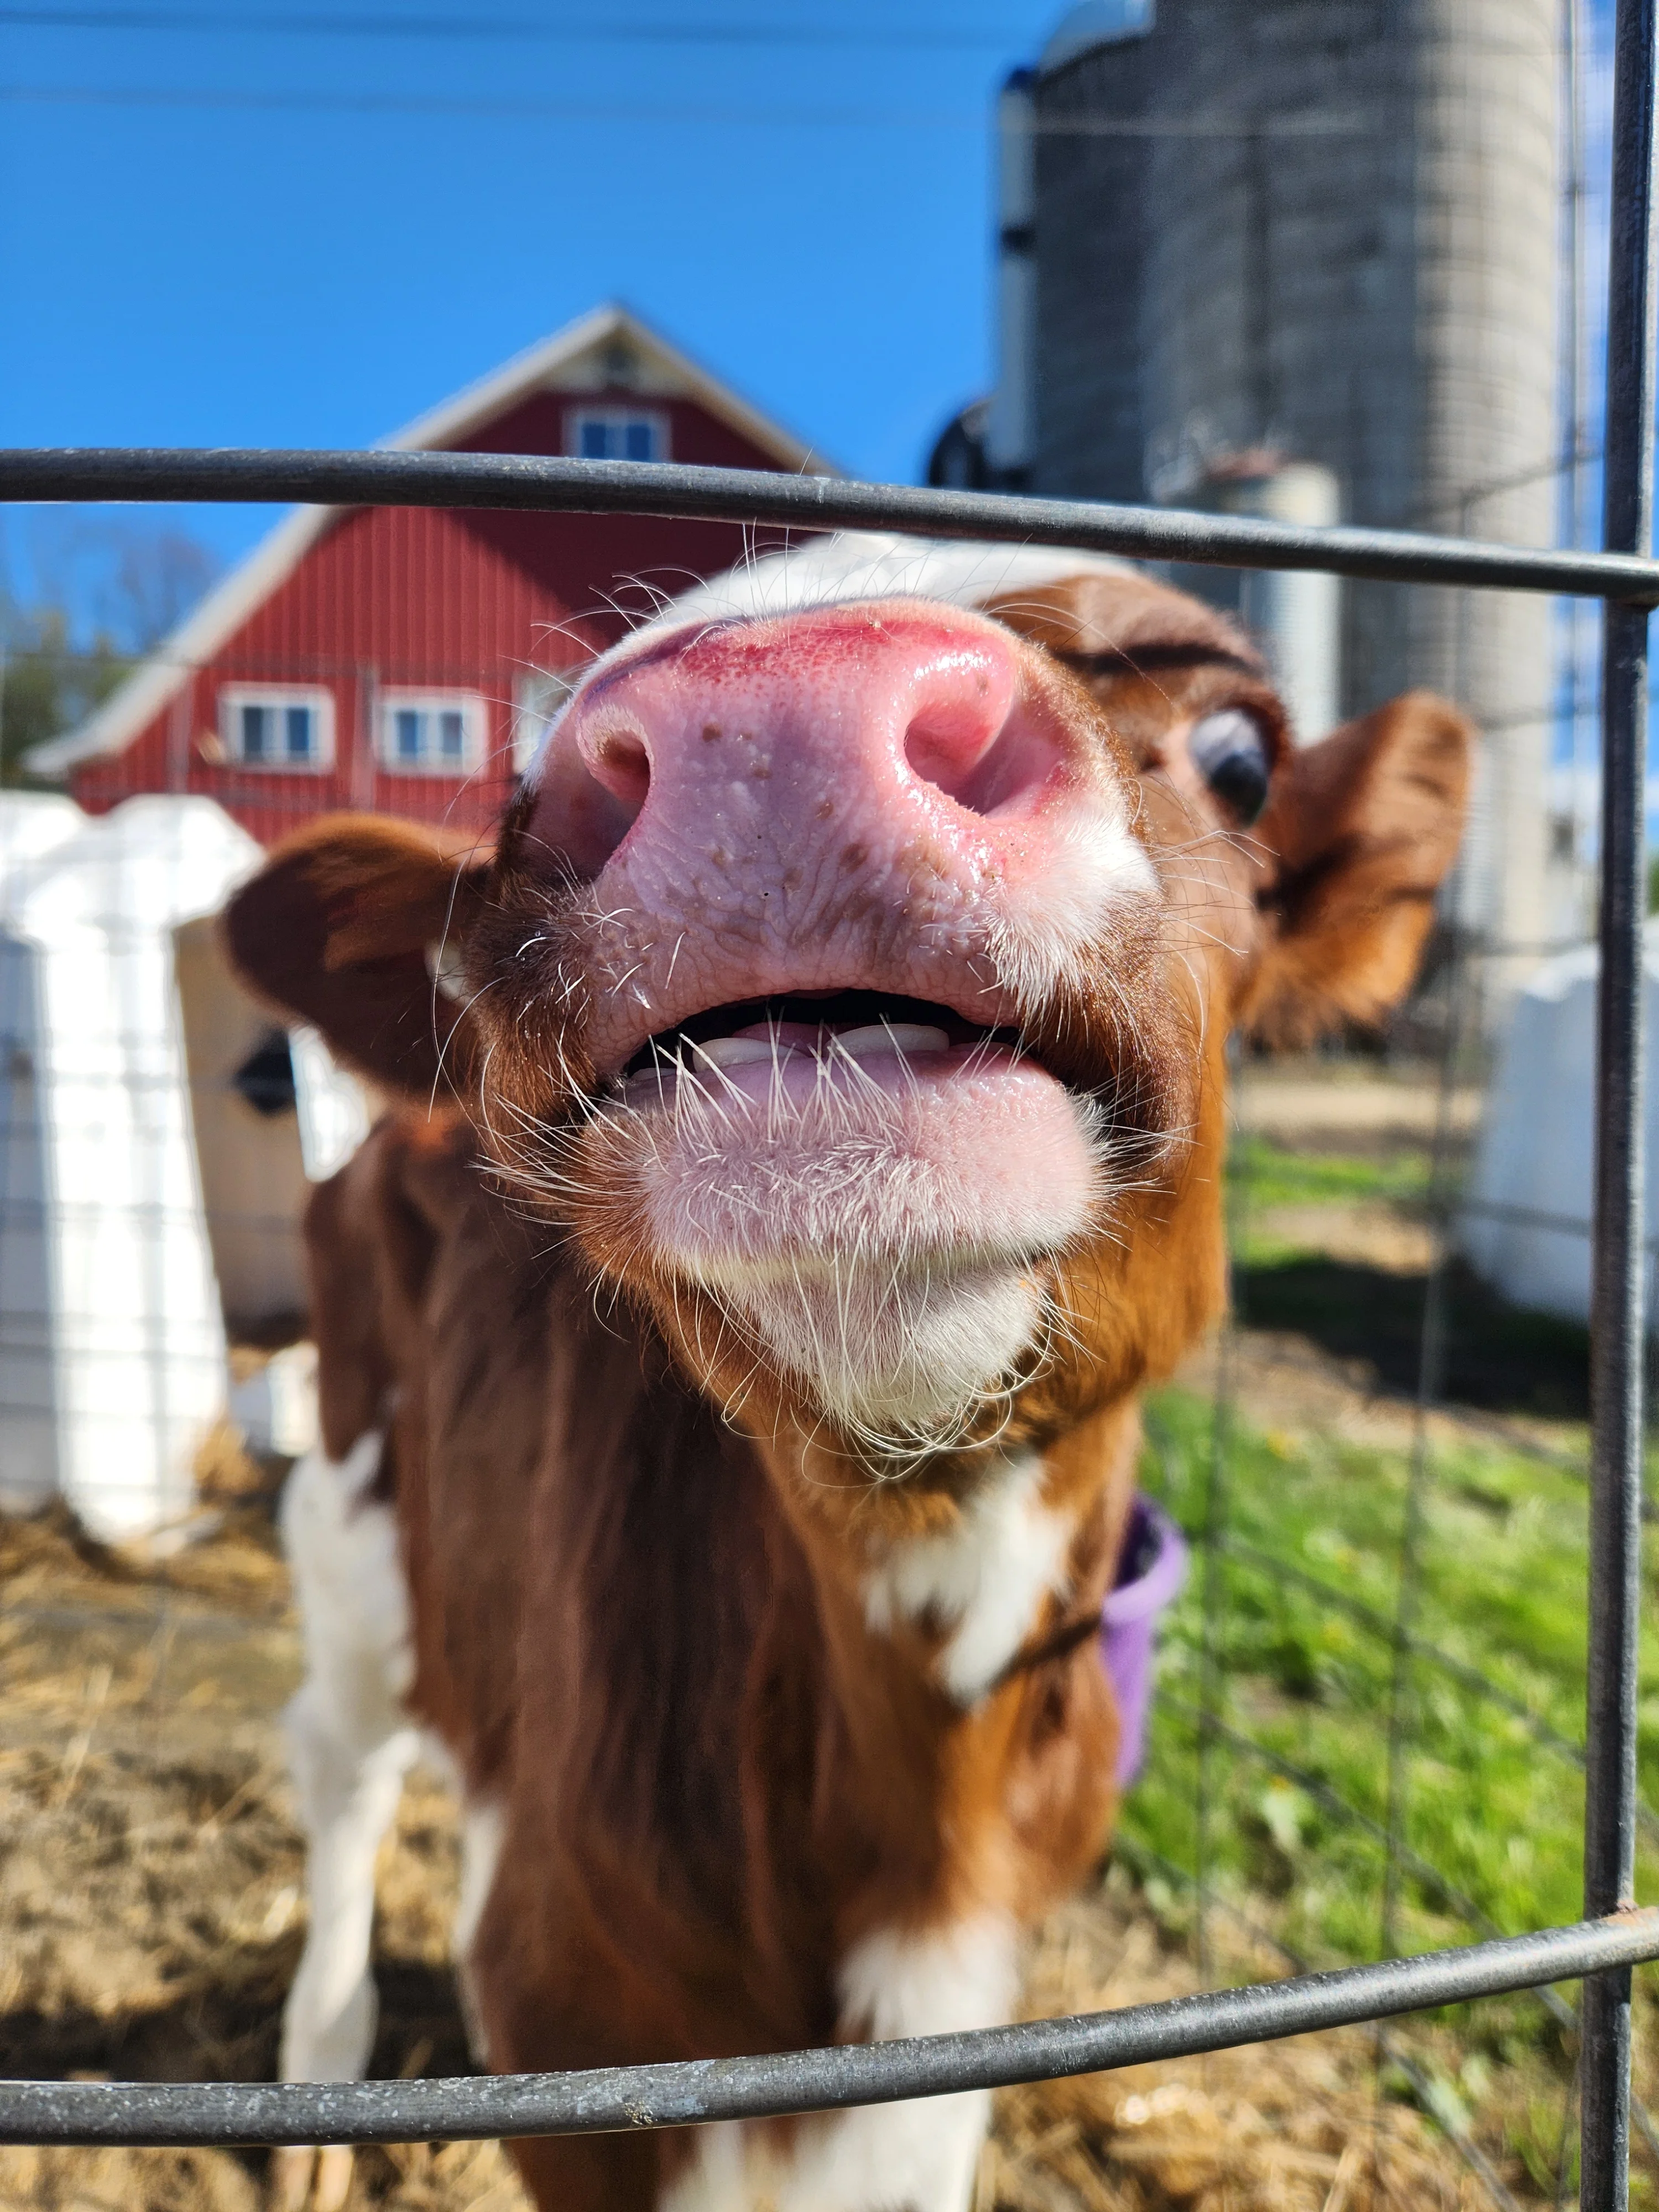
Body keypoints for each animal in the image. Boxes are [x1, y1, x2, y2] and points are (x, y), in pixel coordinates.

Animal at [224, 532, 1470, 2212]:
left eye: (1241, 757)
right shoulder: (566, 2012)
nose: (770, 720)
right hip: (352, 1514)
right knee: (343, 1759)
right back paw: (316, 2085)